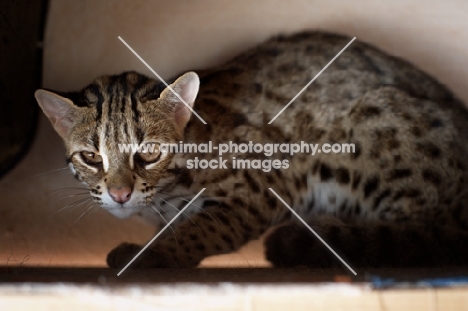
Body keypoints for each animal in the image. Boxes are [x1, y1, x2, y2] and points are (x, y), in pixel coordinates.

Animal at [34, 31, 468, 270]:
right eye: (91, 157)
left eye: (150, 152)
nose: (120, 194)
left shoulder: (265, 182)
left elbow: (199, 228)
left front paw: (149, 254)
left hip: (372, 116)